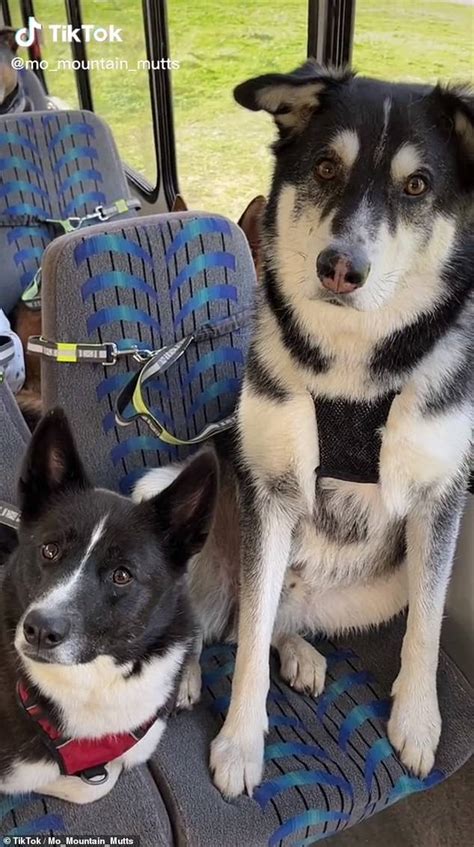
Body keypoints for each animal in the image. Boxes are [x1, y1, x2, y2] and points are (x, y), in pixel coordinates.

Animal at [135, 63, 472, 800]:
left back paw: (300, 653)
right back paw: (192, 671)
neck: (351, 364)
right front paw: (239, 742)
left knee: (269, 621)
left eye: (416, 185)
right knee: (215, 623)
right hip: (178, 499)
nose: (340, 267)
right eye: (324, 167)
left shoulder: (440, 498)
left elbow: (426, 628)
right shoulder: (271, 492)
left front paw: (417, 720)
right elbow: (247, 647)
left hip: (375, 588)